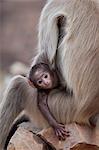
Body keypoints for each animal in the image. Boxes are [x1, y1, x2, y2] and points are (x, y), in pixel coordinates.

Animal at [0, 0, 99, 149]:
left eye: (45, 77)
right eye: (42, 80)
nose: (45, 82)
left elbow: (46, 54)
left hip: (64, 110)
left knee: (17, 85)